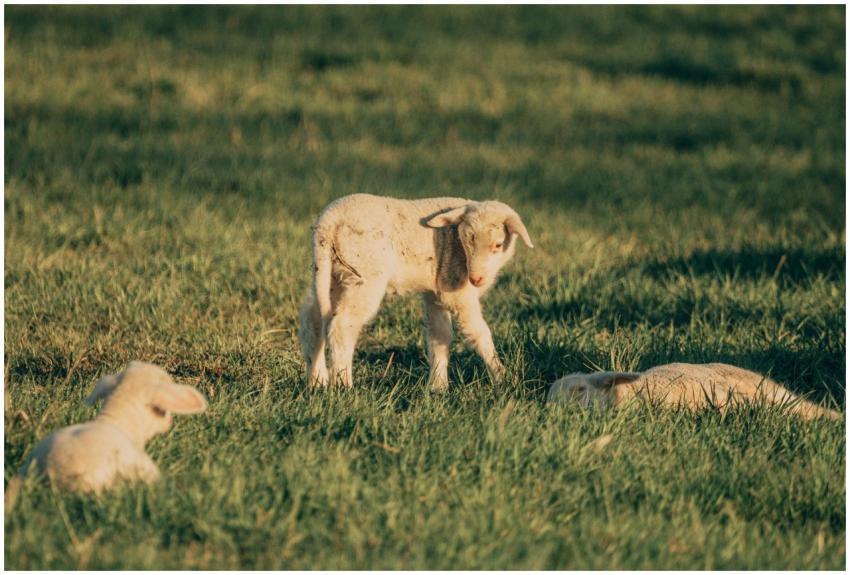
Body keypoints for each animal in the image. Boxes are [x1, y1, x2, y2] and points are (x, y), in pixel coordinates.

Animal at [298, 193, 534, 390]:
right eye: (465, 241)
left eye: (498, 245)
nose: (476, 279)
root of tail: (328, 222)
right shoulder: (457, 292)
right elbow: (479, 333)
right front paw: (503, 377)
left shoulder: (436, 290)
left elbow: (439, 335)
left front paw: (438, 387)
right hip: (364, 273)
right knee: (342, 324)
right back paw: (343, 384)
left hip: (330, 274)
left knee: (313, 320)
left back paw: (317, 381)